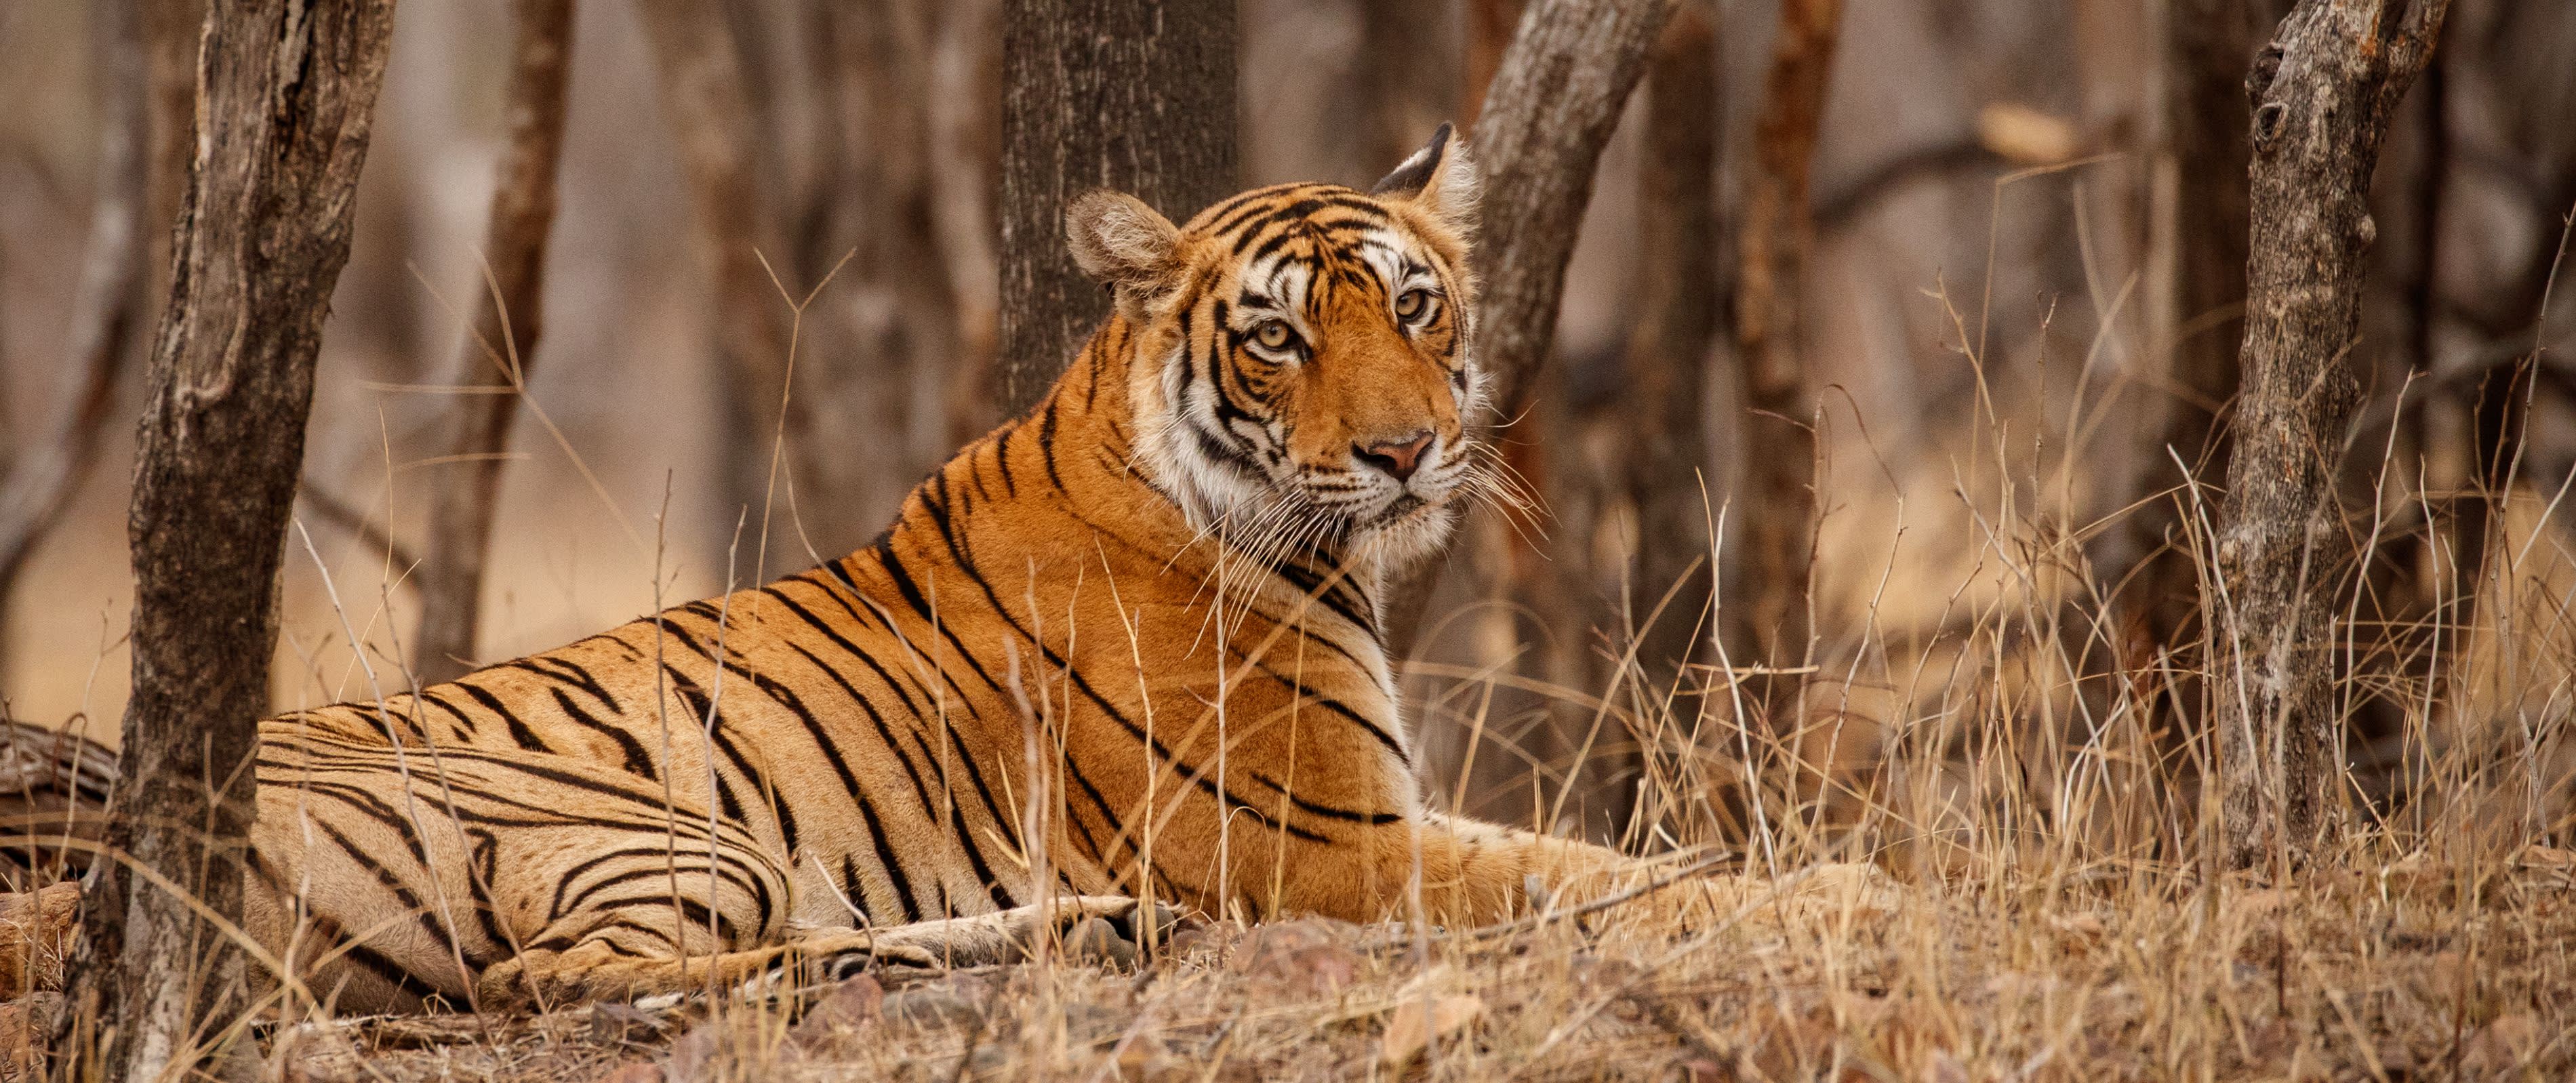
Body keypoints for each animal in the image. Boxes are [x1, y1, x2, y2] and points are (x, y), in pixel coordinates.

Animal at [3, 125, 1873, 1017]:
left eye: (1413, 306)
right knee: (572, 981)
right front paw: (1845, 891)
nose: (1410, 452)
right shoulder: (1326, 846)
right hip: (643, 825)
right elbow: (1611, 874)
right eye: (1277, 338)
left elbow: (1609, 859)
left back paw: (1079, 929)